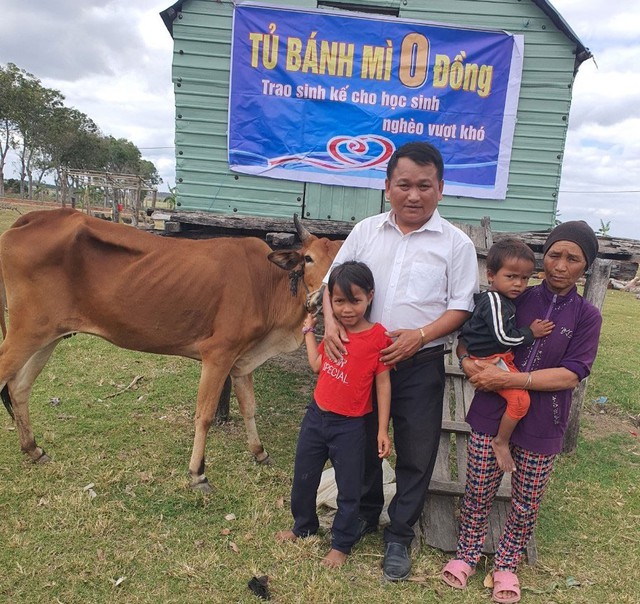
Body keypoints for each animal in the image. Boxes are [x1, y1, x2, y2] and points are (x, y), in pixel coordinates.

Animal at [0, 208, 342, 490]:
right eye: (308, 259)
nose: (321, 297)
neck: (268, 283)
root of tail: (34, 218)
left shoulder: (241, 361)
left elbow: (250, 407)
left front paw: (259, 453)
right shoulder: (218, 355)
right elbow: (204, 415)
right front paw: (198, 473)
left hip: (49, 335)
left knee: (19, 387)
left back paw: (34, 449)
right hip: (26, 331)